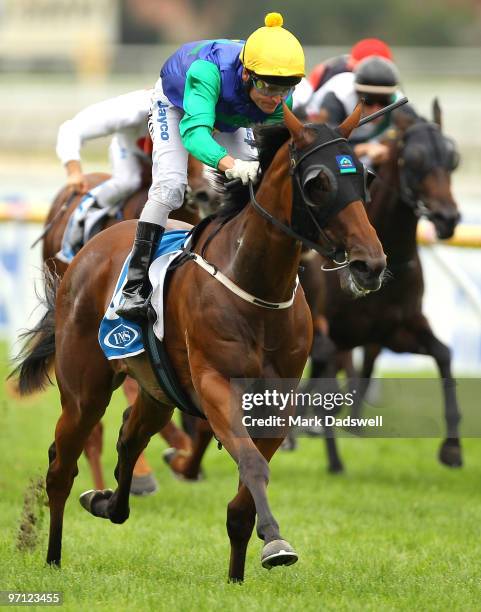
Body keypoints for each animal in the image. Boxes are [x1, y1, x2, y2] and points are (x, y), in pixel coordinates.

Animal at [12, 103, 386, 580]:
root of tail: (87, 251)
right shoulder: (214, 384)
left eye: (365, 176)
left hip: (157, 390)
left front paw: (239, 573)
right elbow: (251, 462)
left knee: (129, 437)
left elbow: (245, 490)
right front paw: (275, 542)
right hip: (84, 391)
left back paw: (107, 502)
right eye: (317, 182)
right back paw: (54, 556)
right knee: (62, 467)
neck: (255, 287)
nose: (370, 264)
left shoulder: (277, 399)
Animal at [318, 101, 462, 468]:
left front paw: (452, 448)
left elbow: (444, 354)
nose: (447, 219)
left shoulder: (395, 330)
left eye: (451, 159)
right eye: (414, 160)